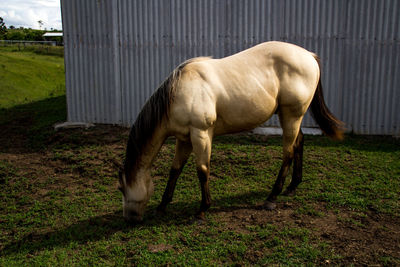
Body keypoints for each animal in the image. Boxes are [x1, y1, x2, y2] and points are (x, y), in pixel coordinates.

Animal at [116, 40, 344, 223]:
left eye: (121, 188)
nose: (129, 219)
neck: (178, 93)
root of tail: (309, 56)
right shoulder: (184, 139)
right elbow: (175, 170)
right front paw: (162, 206)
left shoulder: (200, 134)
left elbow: (202, 170)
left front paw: (202, 210)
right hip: (292, 117)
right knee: (299, 142)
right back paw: (292, 186)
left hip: (291, 115)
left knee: (288, 152)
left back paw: (272, 197)